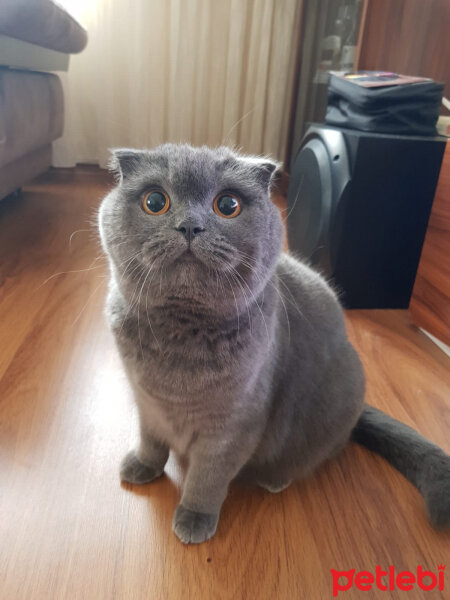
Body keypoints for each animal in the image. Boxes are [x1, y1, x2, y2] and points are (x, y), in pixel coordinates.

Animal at [98, 142, 450, 544]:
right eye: (155, 201)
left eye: (228, 205)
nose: (189, 225)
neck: (179, 334)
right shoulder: (147, 402)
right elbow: (151, 439)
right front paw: (142, 466)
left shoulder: (234, 424)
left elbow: (208, 476)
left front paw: (194, 516)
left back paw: (275, 479)